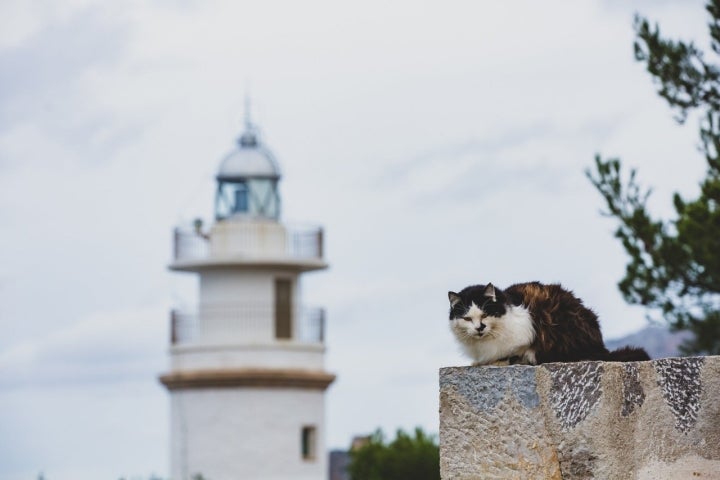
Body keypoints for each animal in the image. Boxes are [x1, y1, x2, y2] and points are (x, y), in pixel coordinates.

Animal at [448, 282, 648, 364]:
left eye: (485, 314)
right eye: (467, 318)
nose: (479, 328)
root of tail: (600, 346)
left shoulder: (526, 330)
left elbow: (512, 350)